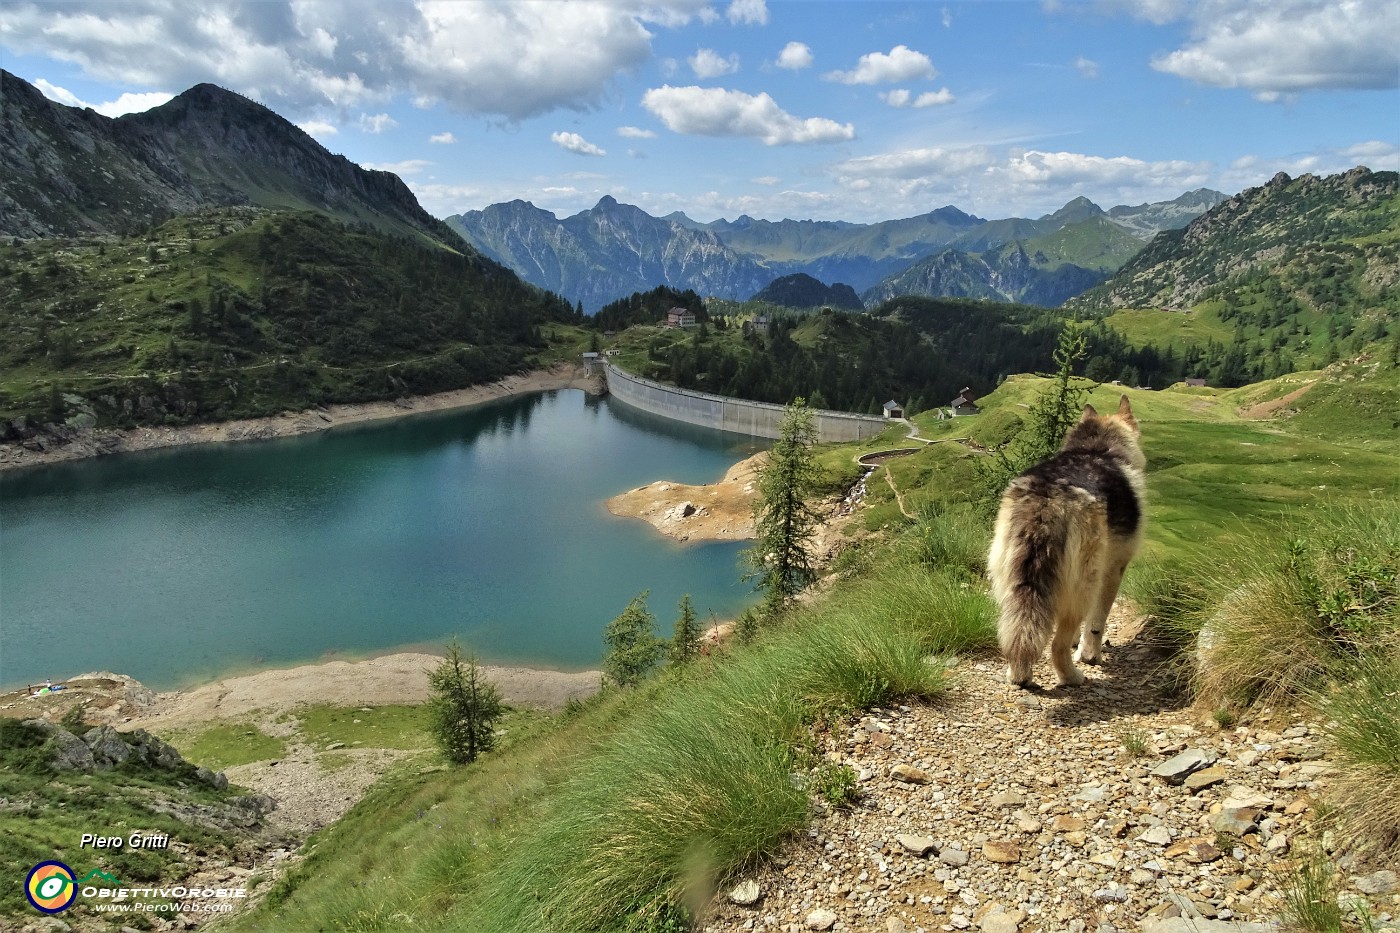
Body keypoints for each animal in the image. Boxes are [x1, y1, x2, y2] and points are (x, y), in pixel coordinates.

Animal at [985, 392, 1148, 683]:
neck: (1099, 449)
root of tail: (1047, 499)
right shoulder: (1113, 570)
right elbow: (1096, 624)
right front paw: (1090, 656)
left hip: (1008, 581)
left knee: (1016, 630)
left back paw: (1017, 673)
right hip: (1083, 585)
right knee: (1056, 645)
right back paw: (1073, 677)